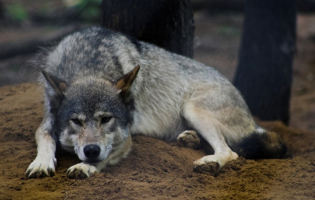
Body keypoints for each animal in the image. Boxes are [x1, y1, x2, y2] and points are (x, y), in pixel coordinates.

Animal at [25, 26, 290, 180]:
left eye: (106, 119)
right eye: (76, 122)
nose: (91, 150)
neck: (88, 65)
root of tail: (252, 117)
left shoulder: (125, 139)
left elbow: (104, 159)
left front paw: (85, 167)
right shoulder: (47, 121)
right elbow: (46, 139)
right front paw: (41, 162)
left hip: (191, 108)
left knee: (231, 152)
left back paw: (210, 163)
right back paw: (189, 140)